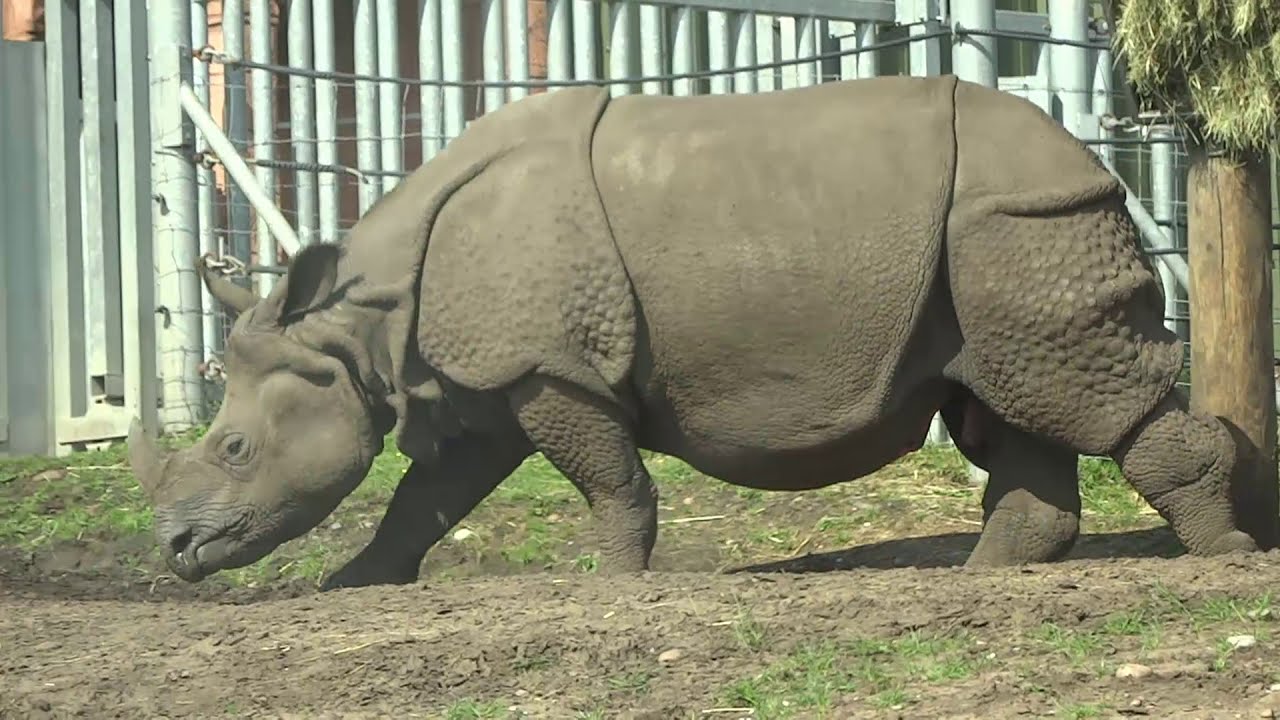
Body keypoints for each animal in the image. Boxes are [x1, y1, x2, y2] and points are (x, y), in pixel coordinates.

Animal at [128, 74, 1264, 591]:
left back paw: (1224, 558)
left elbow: (606, 475)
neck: (360, 322)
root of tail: (1090, 159)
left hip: (1023, 224)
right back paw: (978, 576)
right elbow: (427, 494)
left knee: (1072, 392)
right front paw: (355, 584)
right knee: (1002, 394)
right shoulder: (484, 375)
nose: (176, 550)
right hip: (993, 235)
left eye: (236, 448)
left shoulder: (549, 365)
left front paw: (612, 581)